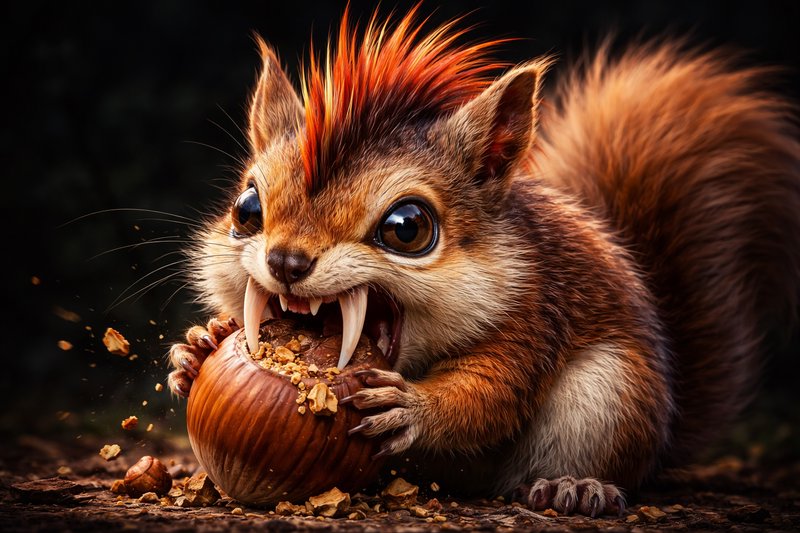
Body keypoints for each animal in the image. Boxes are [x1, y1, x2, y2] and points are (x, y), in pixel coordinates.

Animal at [167, 6, 800, 516]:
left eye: (408, 228)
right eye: (247, 209)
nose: (287, 261)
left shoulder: (535, 311)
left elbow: (491, 392)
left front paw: (413, 407)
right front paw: (197, 347)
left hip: (611, 395)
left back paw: (575, 487)